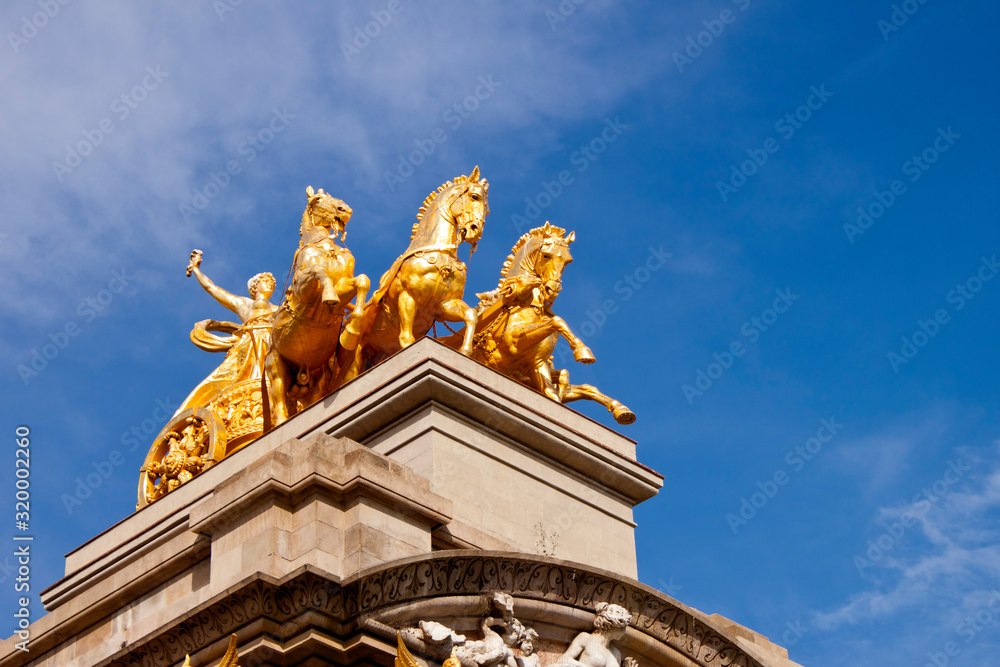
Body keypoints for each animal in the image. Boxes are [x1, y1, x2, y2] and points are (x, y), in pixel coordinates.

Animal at [266, 187, 372, 428]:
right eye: (317, 199)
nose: (344, 210)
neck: (324, 246)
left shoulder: (344, 283)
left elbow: (362, 280)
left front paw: (351, 333)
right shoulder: (302, 290)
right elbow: (319, 272)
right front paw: (329, 296)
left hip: (316, 381)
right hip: (275, 367)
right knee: (279, 404)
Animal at [356, 164, 488, 368]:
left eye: (487, 210)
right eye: (475, 196)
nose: (476, 230)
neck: (441, 255)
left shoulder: (444, 305)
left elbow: (470, 315)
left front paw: (465, 351)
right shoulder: (408, 297)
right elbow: (406, 339)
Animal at [458, 222, 632, 426]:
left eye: (568, 260)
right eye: (546, 255)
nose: (552, 290)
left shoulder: (537, 366)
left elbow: (557, 394)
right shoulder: (513, 343)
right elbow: (557, 321)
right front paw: (582, 351)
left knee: (583, 386)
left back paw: (621, 410)